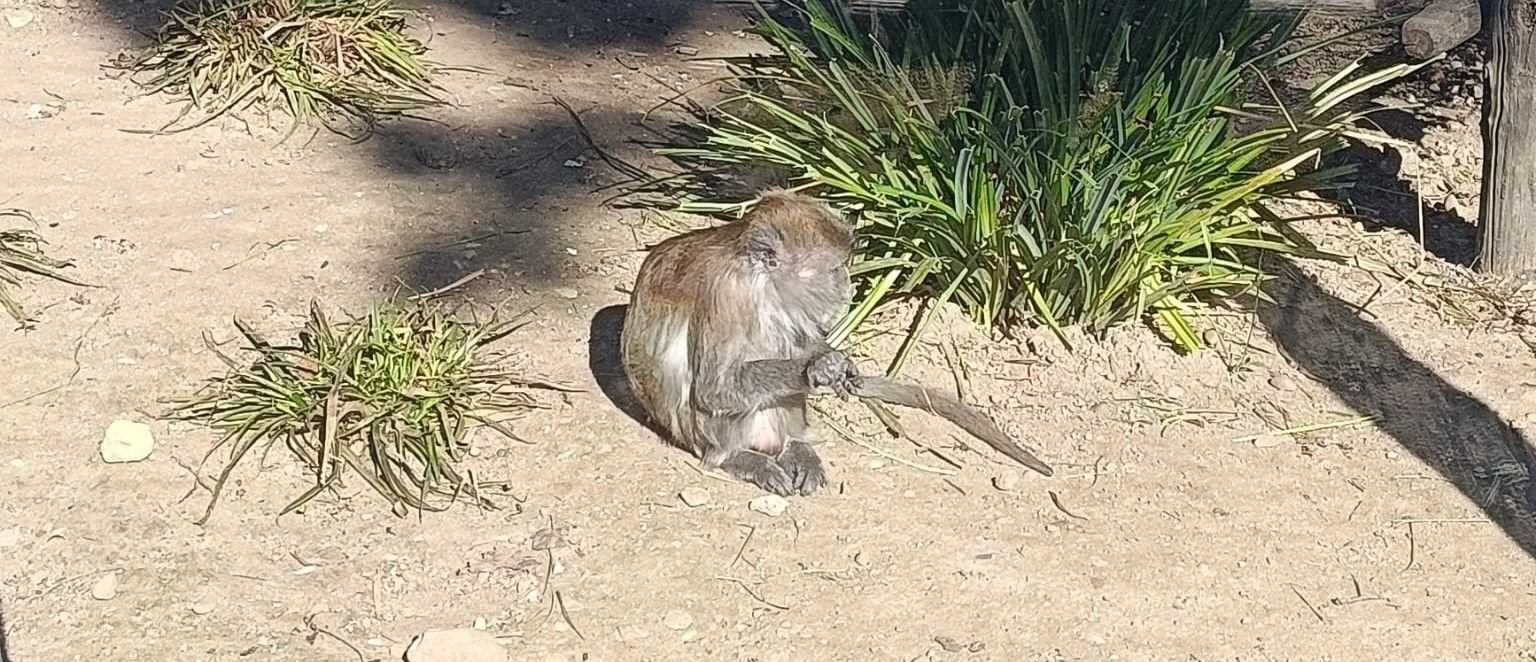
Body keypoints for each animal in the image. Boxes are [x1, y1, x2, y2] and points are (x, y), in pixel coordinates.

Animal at [620, 190, 1053, 496]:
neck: (760, 283)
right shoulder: (728, 294)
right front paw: (819, 368)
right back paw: (741, 458)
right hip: (700, 435)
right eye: (833, 268)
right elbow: (715, 388)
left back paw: (796, 446)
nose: (847, 283)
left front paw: (832, 361)